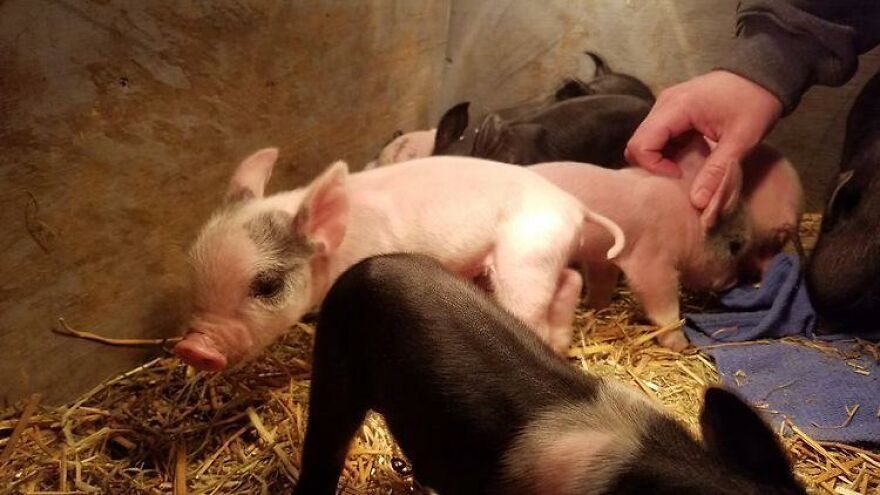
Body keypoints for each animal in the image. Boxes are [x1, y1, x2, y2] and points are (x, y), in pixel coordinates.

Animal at [173, 149, 624, 371]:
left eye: (267, 285)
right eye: (193, 276)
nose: (193, 348)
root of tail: (575, 205)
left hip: (524, 258)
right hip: (544, 252)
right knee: (570, 281)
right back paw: (562, 341)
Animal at [532, 135, 803, 351]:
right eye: (734, 245)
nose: (732, 283)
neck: (685, 221)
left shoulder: (602, 256)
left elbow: (602, 284)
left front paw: (597, 308)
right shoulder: (653, 259)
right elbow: (663, 303)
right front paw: (681, 345)